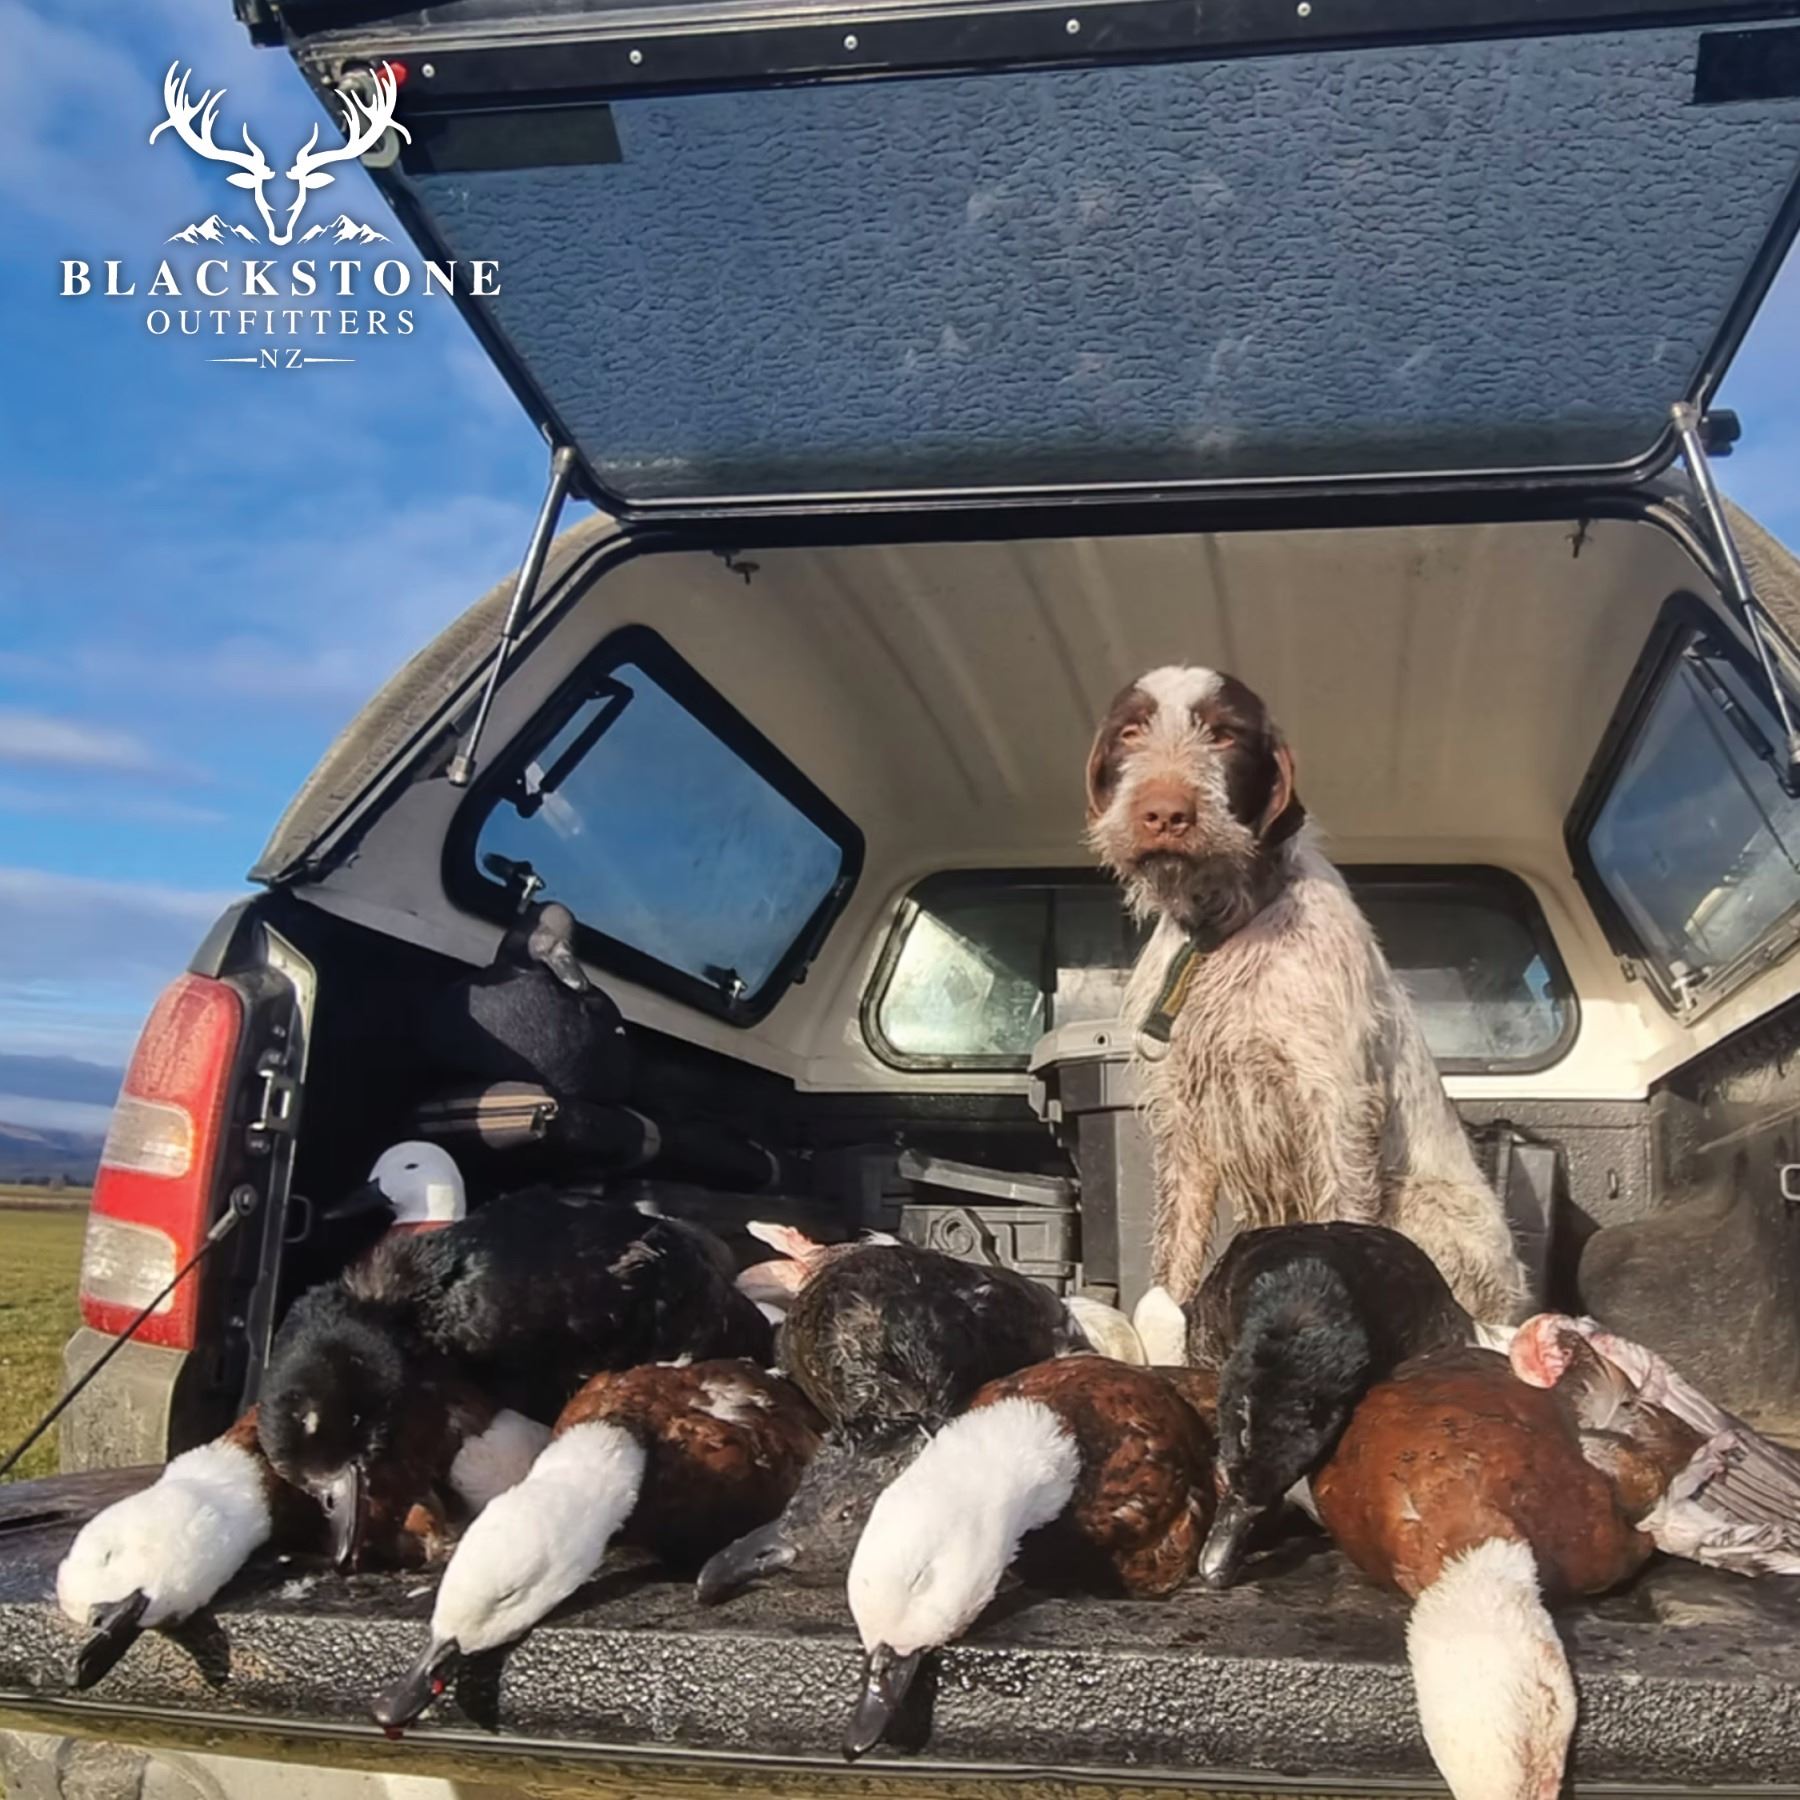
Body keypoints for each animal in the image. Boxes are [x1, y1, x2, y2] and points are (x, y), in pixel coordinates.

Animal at [1085, 666, 1527, 1326]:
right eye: (1130, 732)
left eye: (1225, 735)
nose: (1164, 812)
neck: (1223, 928)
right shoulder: (1185, 1122)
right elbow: (1174, 1252)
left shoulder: (1336, 1104)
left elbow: (1342, 1215)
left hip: (1418, 1204)